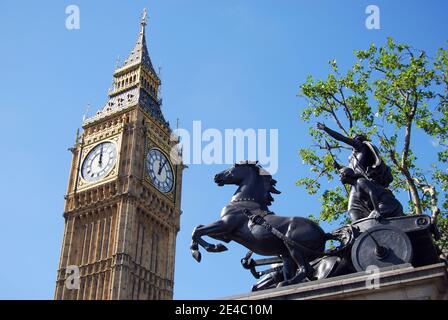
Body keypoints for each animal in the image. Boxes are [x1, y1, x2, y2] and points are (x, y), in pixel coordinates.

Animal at [191, 161, 328, 286]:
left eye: (235, 165)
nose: (216, 176)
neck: (244, 203)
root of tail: (323, 234)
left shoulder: (225, 224)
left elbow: (197, 231)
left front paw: (199, 253)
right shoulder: (226, 235)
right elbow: (199, 228)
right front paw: (217, 246)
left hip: (293, 247)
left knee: (306, 269)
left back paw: (286, 283)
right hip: (288, 254)